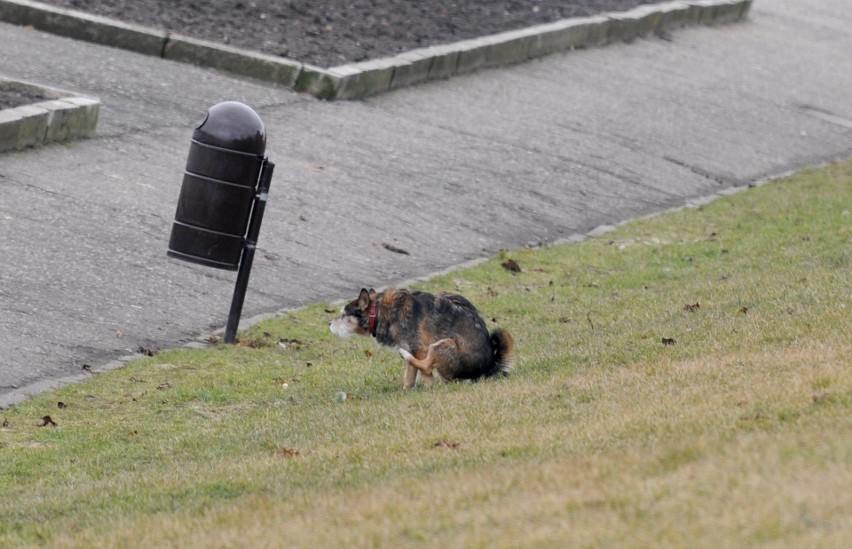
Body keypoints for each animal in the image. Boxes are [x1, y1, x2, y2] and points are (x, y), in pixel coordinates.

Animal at [328, 286, 512, 386]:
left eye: (344, 314)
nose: (329, 323)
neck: (378, 311)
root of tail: (487, 368)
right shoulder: (411, 347)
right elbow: (409, 377)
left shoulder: (420, 349)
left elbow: (424, 373)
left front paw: (429, 388)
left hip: (443, 344)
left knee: (426, 366)